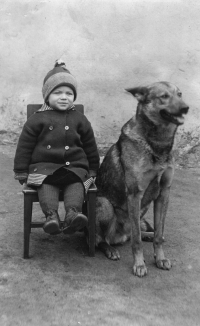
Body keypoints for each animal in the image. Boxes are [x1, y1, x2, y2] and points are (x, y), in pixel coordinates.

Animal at [95, 82, 189, 278]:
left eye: (180, 94)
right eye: (164, 96)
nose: (186, 108)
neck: (158, 144)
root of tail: (119, 237)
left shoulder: (164, 193)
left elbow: (159, 234)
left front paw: (160, 258)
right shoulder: (135, 194)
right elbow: (137, 241)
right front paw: (139, 264)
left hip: (142, 210)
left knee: (138, 232)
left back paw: (148, 235)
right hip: (104, 204)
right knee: (102, 238)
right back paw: (110, 249)